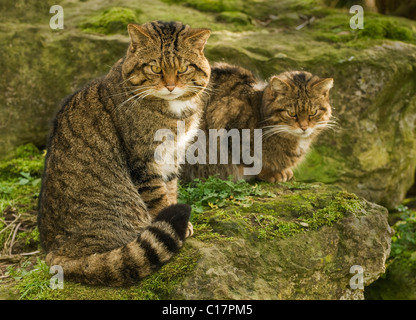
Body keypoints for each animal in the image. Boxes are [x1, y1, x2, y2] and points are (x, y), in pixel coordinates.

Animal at [180, 63, 334, 182]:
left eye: (313, 112)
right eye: (291, 113)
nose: (304, 127)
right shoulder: (228, 126)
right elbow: (249, 160)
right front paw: (270, 173)